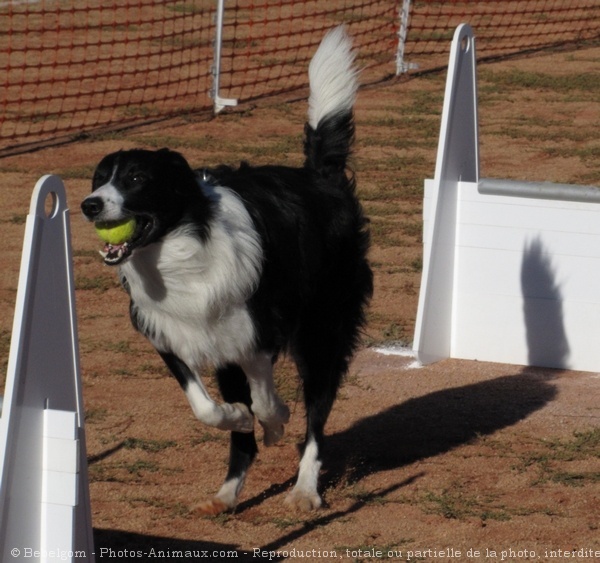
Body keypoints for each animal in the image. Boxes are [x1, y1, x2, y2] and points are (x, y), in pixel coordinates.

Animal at [79, 26, 370, 512]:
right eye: (99, 179)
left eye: (136, 179)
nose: (89, 204)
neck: (179, 249)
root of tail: (319, 176)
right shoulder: (171, 333)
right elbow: (207, 407)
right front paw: (237, 416)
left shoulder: (258, 332)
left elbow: (268, 404)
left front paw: (275, 421)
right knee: (244, 437)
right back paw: (227, 494)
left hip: (322, 332)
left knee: (316, 419)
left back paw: (304, 489)